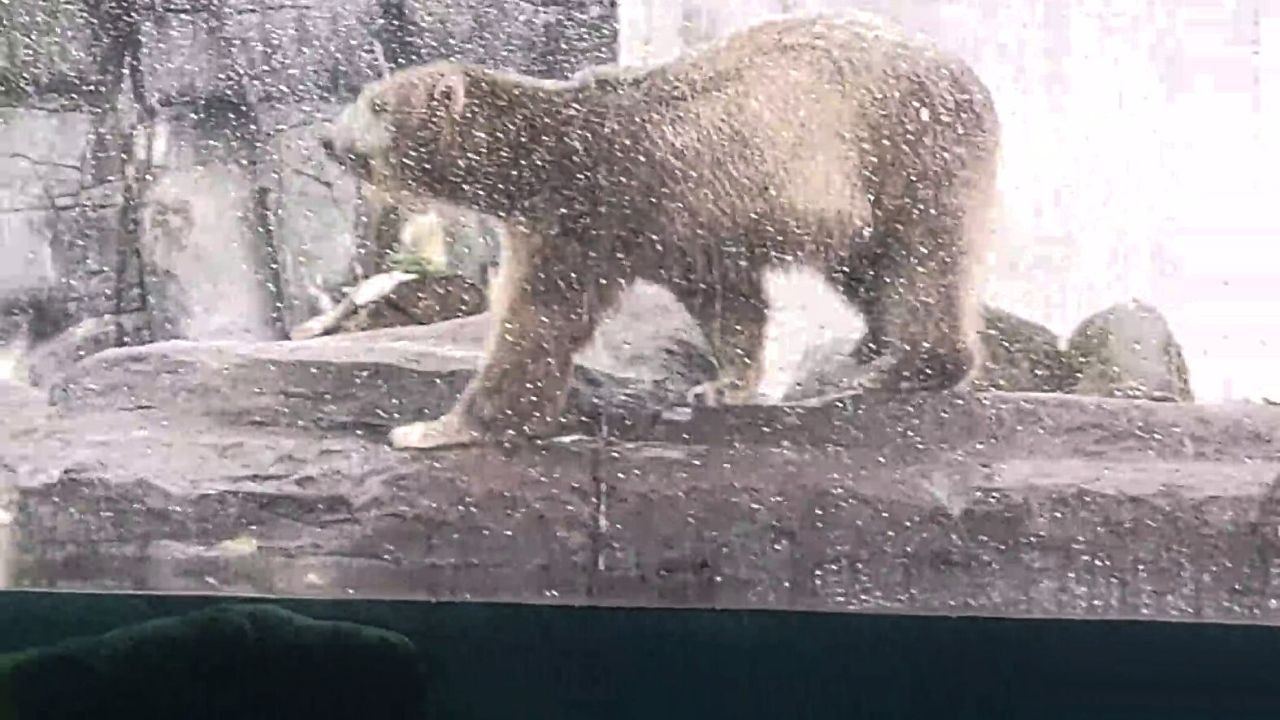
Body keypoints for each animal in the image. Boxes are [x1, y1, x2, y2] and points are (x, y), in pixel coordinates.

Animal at [319, 11, 1003, 451]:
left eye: (376, 104)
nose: (327, 139)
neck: (543, 152)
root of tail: (973, 82)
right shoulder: (684, 230)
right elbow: (727, 300)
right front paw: (723, 385)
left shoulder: (584, 211)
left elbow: (538, 321)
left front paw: (432, 429)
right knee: (870, 268)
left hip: (905, 150)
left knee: (920, 264)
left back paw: (893, 369)